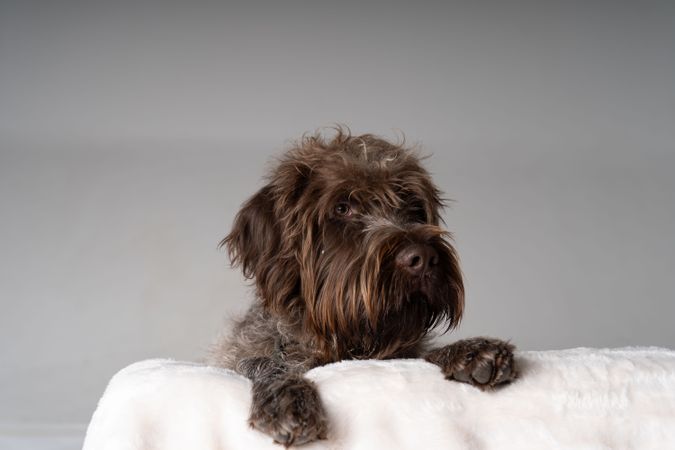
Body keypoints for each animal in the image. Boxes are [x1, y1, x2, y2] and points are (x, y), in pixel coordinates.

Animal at [211, 130, 516, 446]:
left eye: (415, 208)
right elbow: (263, 362)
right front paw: (288, 396)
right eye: (342, 208)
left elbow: (419, 355)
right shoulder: (235, 358)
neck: (344, 342)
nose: (423, 258)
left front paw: (470, 351)